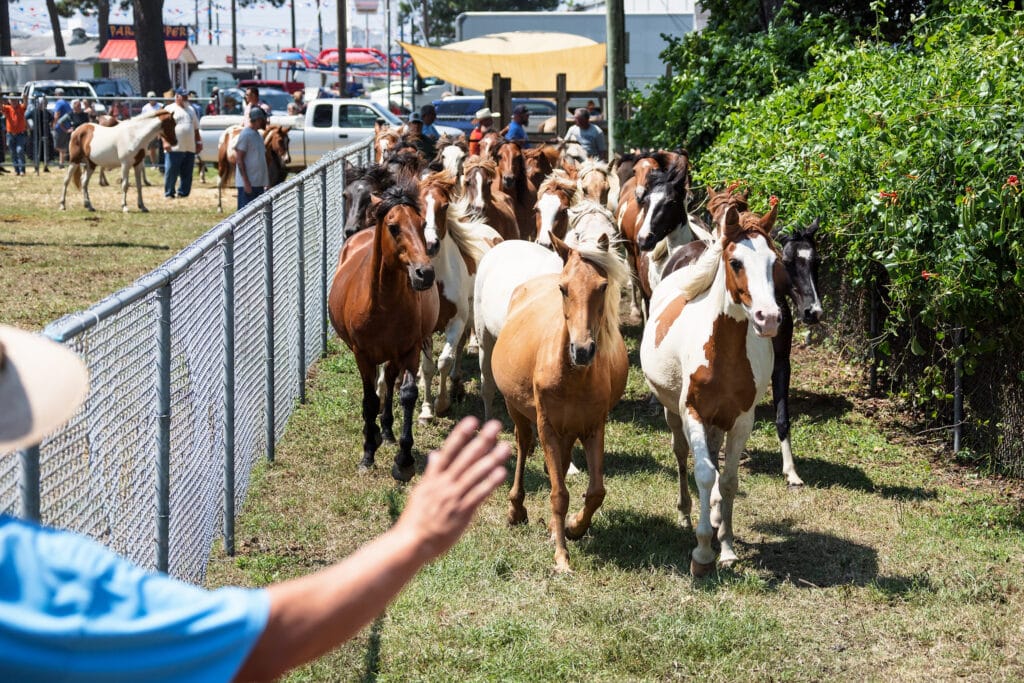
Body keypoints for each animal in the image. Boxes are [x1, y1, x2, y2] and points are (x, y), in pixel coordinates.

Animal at [327, 180, 440, 481]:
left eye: (422, 223)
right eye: (393, 227)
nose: (424, 274)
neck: (382, 303)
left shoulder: (410, 350)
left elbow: (407, 394)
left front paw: (404, 461)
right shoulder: (362, 355)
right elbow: (369, 400)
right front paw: (368, 453)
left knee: (389, 381)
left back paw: (387, 431)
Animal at [489, 229, 626, 573]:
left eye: (602, 286)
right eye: (564, 289)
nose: (583, 350)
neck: (572, 375)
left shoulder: (592, 427)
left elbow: (595, 491)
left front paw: (574, 527)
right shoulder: (547, 426)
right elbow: (558, 494)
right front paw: (562, 557)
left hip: (568, 431)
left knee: (562, 466)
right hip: (519, 412)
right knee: (523, 446)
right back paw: (516, 510)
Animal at [638, 194, 782, 573]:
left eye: (774, 261)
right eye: (736, 261)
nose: (769, 318)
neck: (723, 357)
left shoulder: (742, 420)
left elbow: (728, 481)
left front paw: (727, 546)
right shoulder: (693, 414)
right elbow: (704, 473)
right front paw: (702, 552)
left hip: (719, 422)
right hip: (674, 414)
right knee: (681, 454)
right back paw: (686, 514)